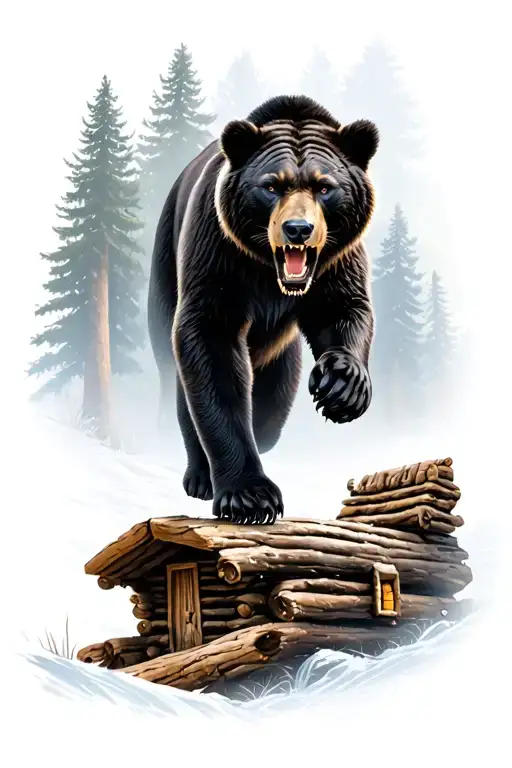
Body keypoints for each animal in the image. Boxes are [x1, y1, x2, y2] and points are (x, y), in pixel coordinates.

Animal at [148, 94, 379, 526]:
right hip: (166, 262)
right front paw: (250, 496)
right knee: (177, 370)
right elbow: (212, 349)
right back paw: (199, 475)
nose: (298, 229)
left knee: (273, 402)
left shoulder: (336, 260)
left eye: (325, 186)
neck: (270, 275)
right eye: (272, 185)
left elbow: (345, 309)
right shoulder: (218, 250)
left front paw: (341, 387)